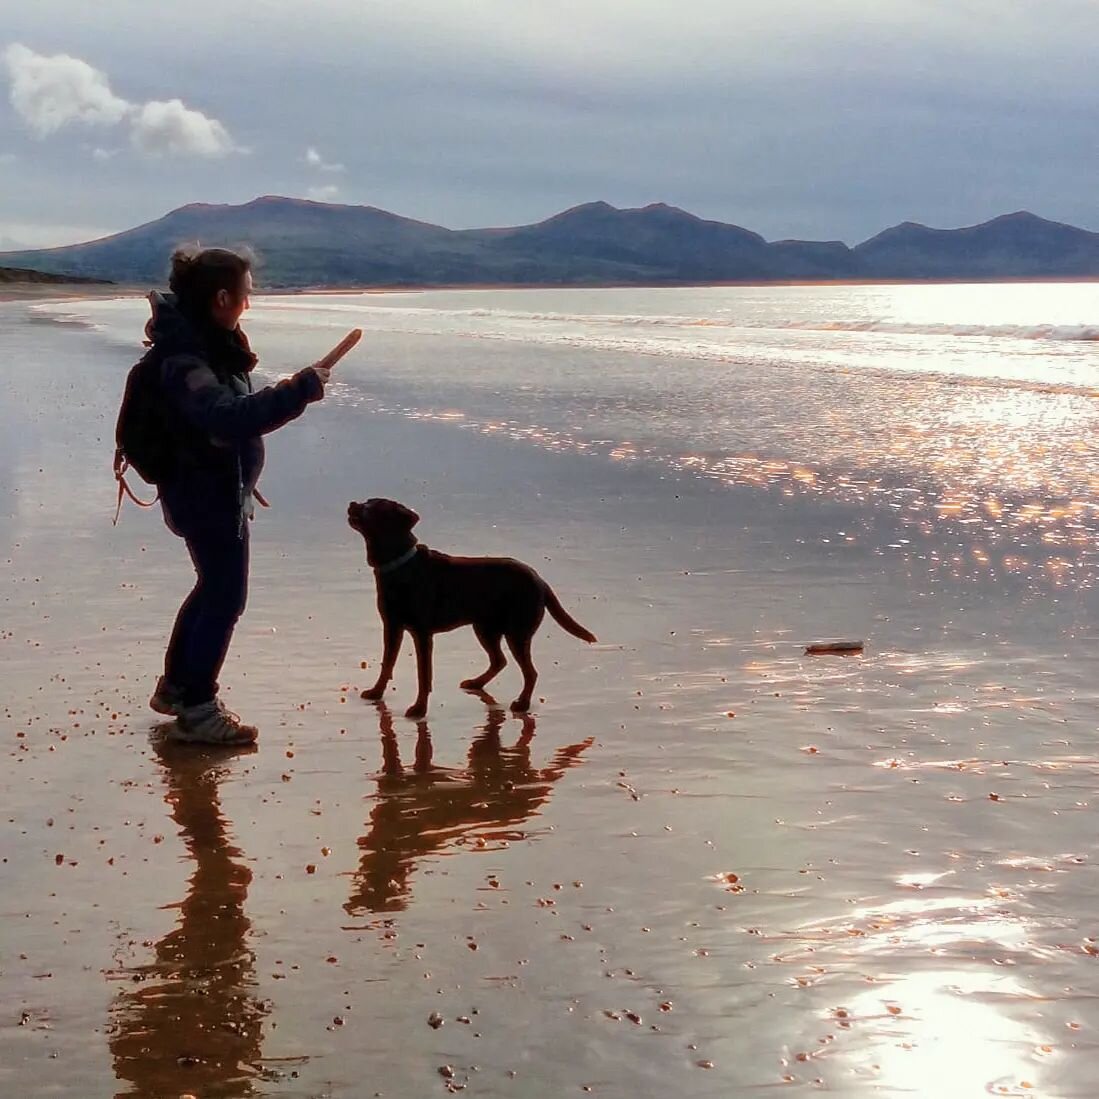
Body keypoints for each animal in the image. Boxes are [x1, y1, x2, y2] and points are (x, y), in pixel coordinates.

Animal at [347, 494, 597, 716]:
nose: (352, 503)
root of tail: (541, 581)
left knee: (530, 671)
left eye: (375, 507)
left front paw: (419, 709)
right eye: (367, 501)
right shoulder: (392, 626)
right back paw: (477, 683)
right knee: (499, 660)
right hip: (485, 628)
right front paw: (376, 692)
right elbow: (387, 663)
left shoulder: (422, 633)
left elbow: (423, 674)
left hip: (516, 632)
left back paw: (522, 703)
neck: (399, 564)